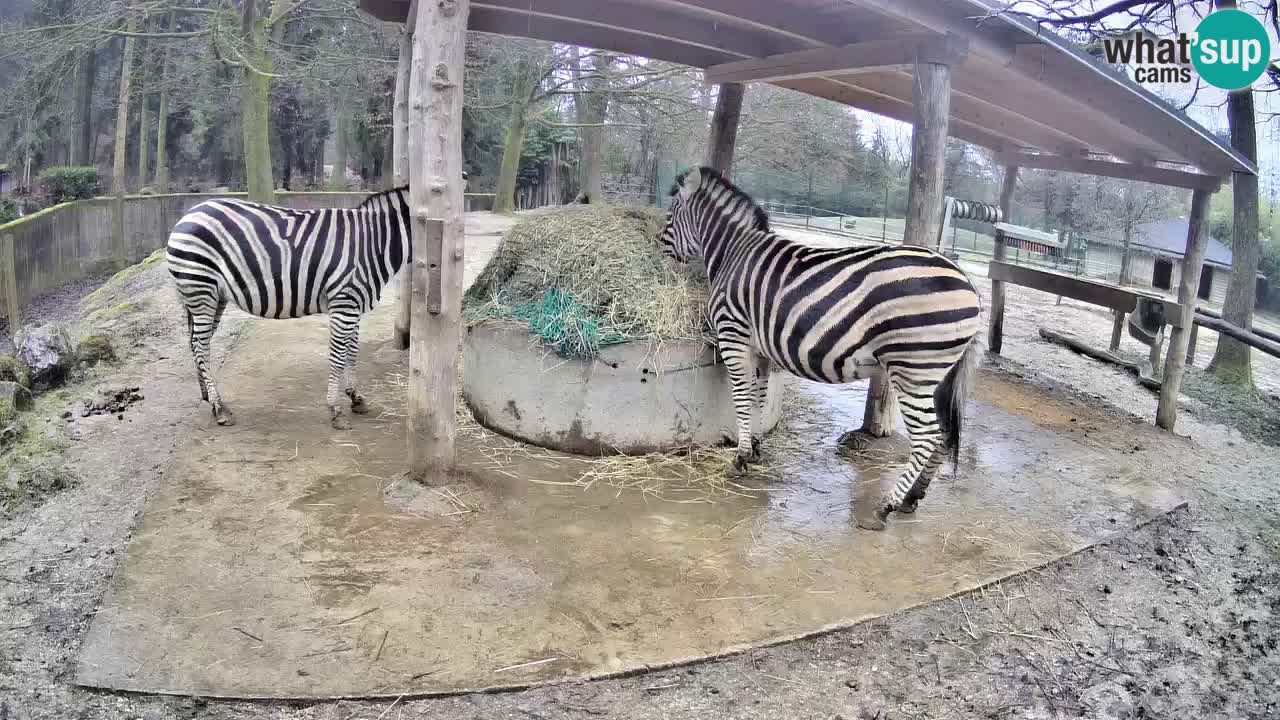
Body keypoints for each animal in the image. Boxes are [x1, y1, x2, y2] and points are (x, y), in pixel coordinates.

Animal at [165, 183, 445, 430]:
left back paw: (208, 396)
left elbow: (352, 352)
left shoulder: (354, 304)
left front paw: (355, 397)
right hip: (201, 288)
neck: (375, 242)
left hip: (213, 296)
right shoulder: (344, 303)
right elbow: (337, 355)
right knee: (200, 345)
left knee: (196, 342)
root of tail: (189, 213)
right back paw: (220, 408)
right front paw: (335, 410)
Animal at [660, 166, 982, 531]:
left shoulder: (734, 334)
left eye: (671, 213)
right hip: (937, 375)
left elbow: (741, 399)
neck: (733, 252)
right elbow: (758, 398)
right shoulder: (760, 349)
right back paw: (912, 498)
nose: (659, 248)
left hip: (913, 369)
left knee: (927, 436)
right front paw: (755, 447)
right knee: (944, 435)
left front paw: (740, 459)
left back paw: (884, 507)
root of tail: (969, 284)